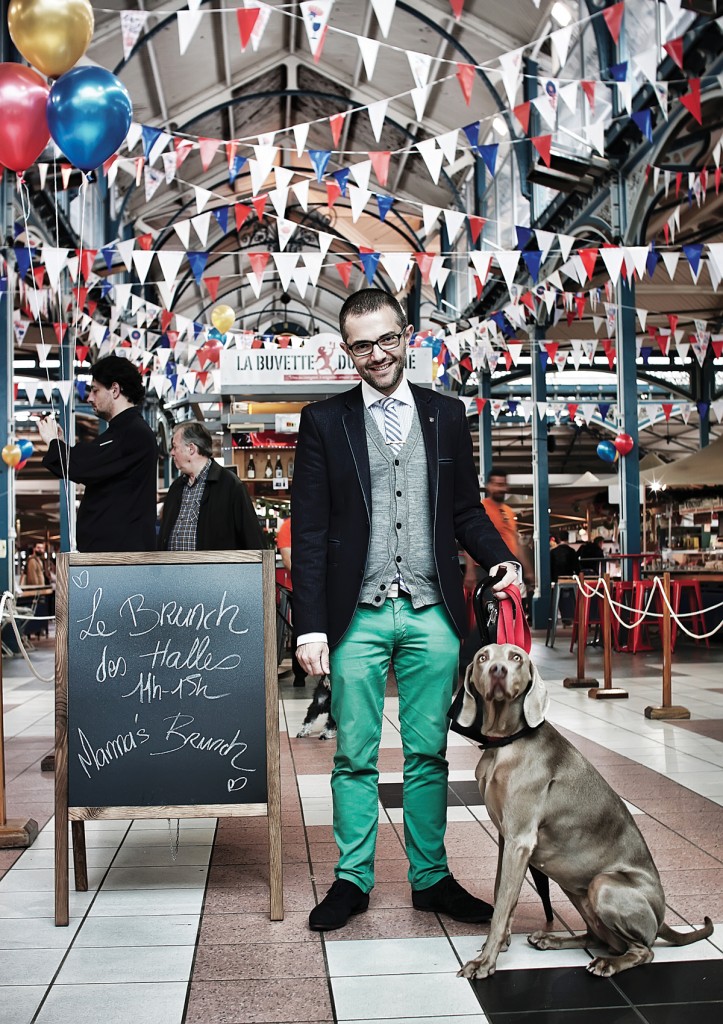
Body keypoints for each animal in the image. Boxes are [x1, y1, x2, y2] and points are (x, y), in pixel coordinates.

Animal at [450, 643, 708, 978]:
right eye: (483, 657)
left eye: (516, 657)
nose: (497, 671)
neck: (504, 744)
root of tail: (662, 917)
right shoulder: (506, 839)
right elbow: (501, 894)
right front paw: (499, 945)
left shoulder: (519, 840)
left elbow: (503, 903)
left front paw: (485, 961)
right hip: (573, 885)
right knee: (601, 937)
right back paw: (552, 939)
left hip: (603, 885)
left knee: (643, 950)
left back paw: (607, 963)